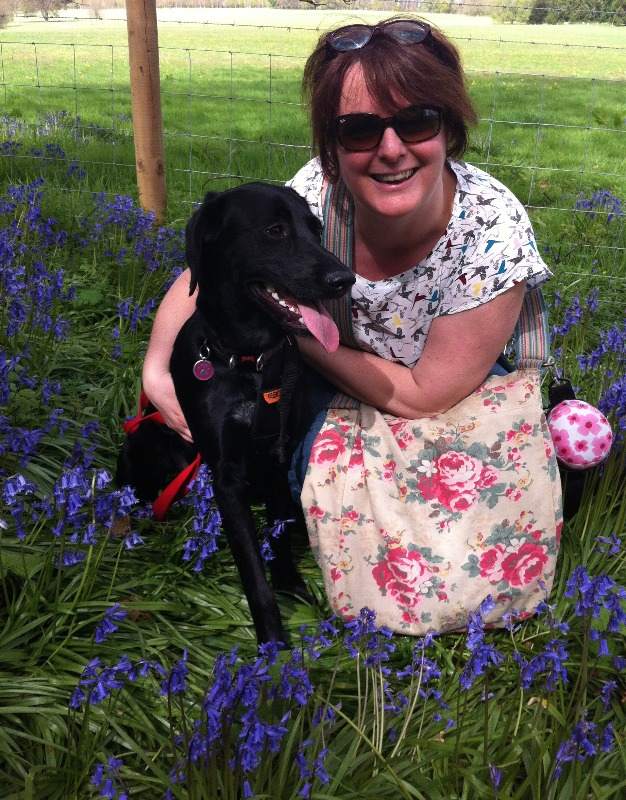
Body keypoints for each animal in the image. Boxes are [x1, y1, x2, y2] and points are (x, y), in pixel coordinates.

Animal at [117, 183, 352, 644]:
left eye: (316, 228)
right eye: (275, 230)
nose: (344, 280)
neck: (246, 363)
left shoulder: (276, 453)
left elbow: (277, 537)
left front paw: (291, 588)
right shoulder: (225, 474)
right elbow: (252, 571)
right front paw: (272, 642)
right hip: (147, 439)